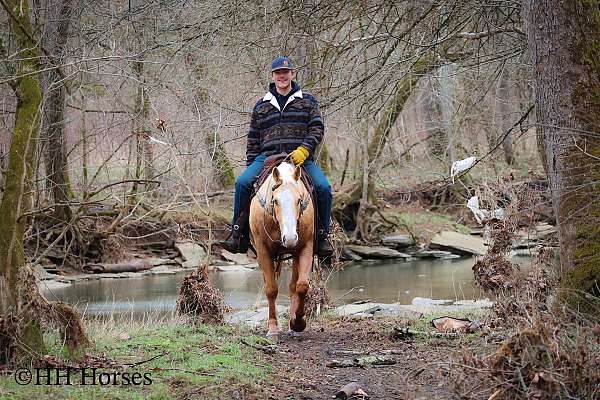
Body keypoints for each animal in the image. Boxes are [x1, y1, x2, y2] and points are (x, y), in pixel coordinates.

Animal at [248, 161, 314, 336]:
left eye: (299, 200)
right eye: (275, 200)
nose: (290, 238)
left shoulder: (305, 248)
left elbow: (302, 285)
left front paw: (298, 323)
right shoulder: (263, 252)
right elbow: (271, 289)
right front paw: (272, 328)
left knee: (292, 286)